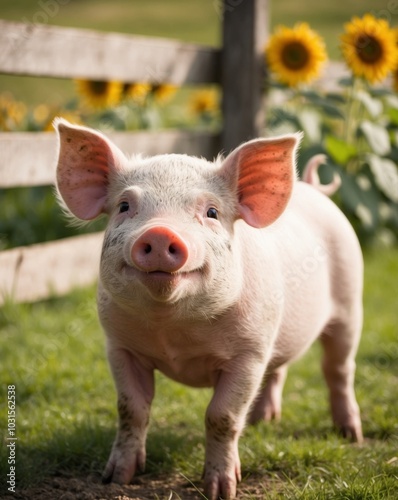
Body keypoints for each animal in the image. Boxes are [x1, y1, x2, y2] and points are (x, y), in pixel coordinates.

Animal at [54, 118, 362, 500]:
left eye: (211, 212)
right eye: (125, 206)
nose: (159, 233)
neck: (173, 332)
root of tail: (313, 188)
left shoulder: (248, 354)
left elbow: (222, 415)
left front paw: (220, 490)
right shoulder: (119, 346)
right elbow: (131, 408)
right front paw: (116, 479)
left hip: (350, 303)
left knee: (338, 369)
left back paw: (350, 435)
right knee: (279, 369)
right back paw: (263, 420)